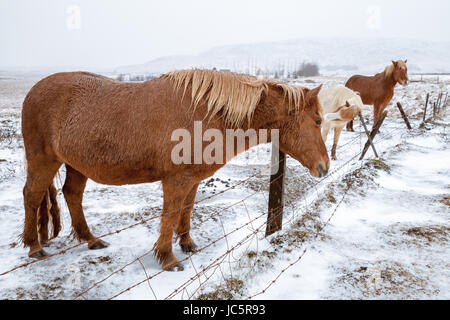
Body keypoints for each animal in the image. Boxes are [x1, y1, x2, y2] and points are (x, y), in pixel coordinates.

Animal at [21, 69, 328, 272]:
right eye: (317, 120)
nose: (324, 167)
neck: (207, 113)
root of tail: (33, 91)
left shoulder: (192, 180)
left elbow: (186, 210)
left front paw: (187, 243)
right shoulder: (176, 180)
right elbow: (169, 215)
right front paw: (167, 257)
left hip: (76, 165)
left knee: (72, 194)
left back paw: (91, 240)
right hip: (43, 160)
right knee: (32, 195)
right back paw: (34, 246)